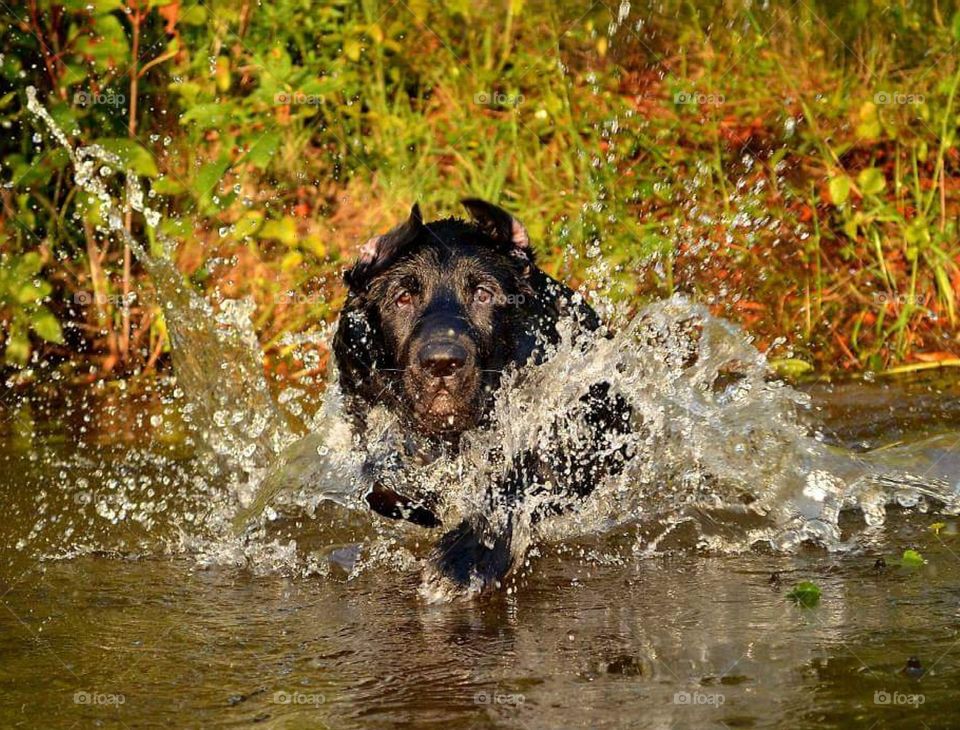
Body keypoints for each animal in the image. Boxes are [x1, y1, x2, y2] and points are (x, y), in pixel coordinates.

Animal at [332, 199, 632, 596]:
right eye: (403, 297)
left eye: (483, 295)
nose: (442, 362)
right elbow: (381, 481)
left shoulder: (584, 421)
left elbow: (522, 477)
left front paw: (466, 558)